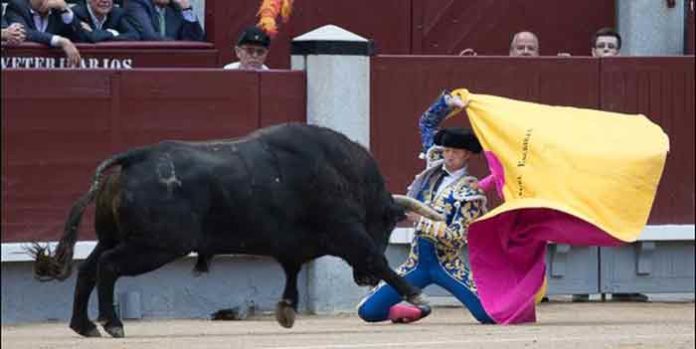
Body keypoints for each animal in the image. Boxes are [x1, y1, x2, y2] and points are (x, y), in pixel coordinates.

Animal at [28, 123, 440, 338]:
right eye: (387, 222)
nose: (362, 280)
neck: (344, 173)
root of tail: (134, 158)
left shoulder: (292, 245)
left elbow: (291, 271)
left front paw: (286, 310)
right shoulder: (347, 233)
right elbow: (378, 259)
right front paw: (419, 298)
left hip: (114, 237)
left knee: (88, 268)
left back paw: (83, 325)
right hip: (156, 245)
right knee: (109, 267)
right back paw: (111, 324)